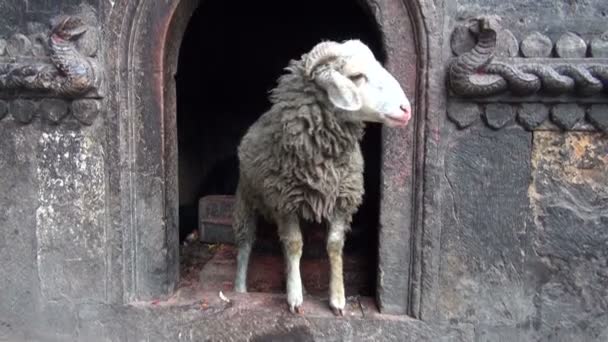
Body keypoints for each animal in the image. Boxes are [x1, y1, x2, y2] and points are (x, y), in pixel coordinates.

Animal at [234, 39, 414, 316]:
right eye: (356, 76)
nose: (406, 109)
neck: (323, 164)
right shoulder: (285, 202)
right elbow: (294, 245)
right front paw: (295, 298)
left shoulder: (342, 201)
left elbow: (334, 245)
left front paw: (337, 299)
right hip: (246, 197)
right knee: (245, 243)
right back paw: (240, 289)